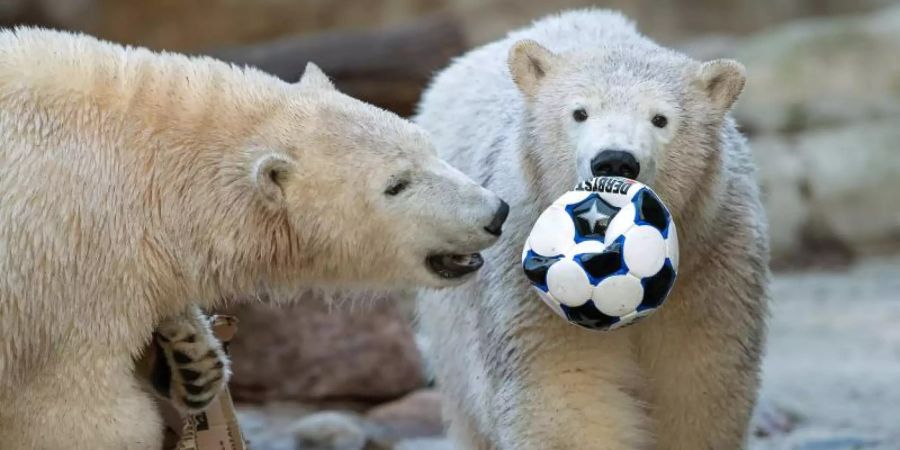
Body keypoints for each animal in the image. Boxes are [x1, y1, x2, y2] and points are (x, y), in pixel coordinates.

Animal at [418, 7, 768, 450]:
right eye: (579, 113)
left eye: (660, 119)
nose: (615, 160)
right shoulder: (527, 283)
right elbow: (565, 384)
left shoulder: (714, 265)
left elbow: (697, 383)